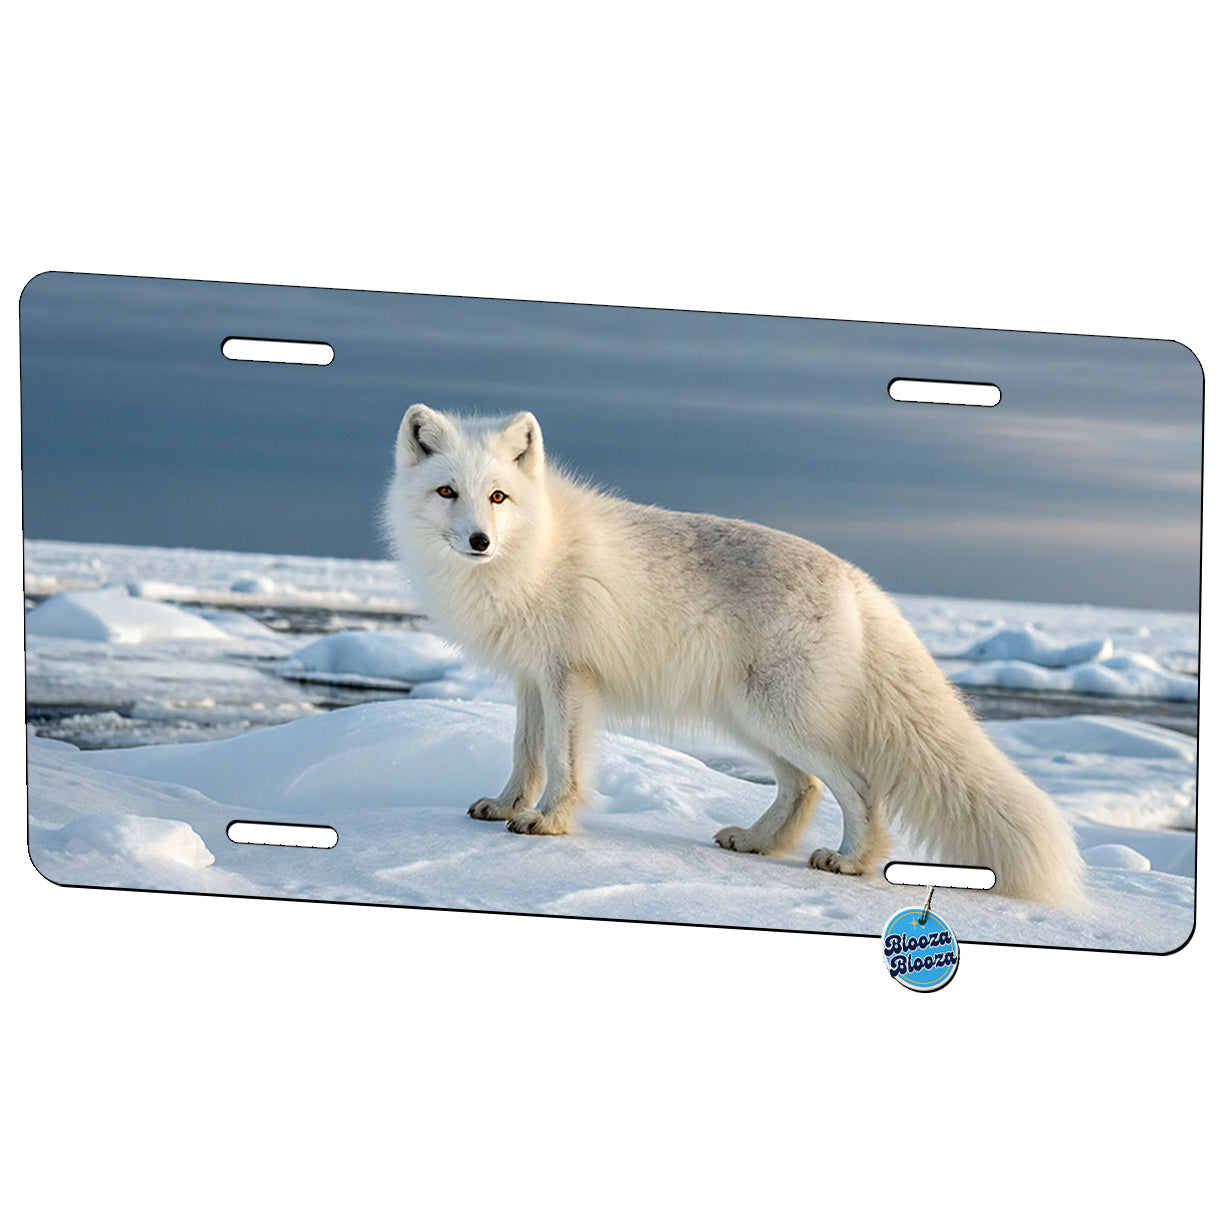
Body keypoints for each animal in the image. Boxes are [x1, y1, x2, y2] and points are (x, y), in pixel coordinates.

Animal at [382, 404, 1084, 905]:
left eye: (498, 497)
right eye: (447, 492)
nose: (479, 540)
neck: (536, 549)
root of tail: (857, 580)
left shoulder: (569, 677)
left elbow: (562, 762)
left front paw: (549, 822)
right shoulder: (530, 679)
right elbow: (524, 754)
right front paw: (505, 807)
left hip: (778, 717)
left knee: (856, 785)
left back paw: (849, 862)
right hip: (749, 720)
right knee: (802, 788)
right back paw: (755, 841)